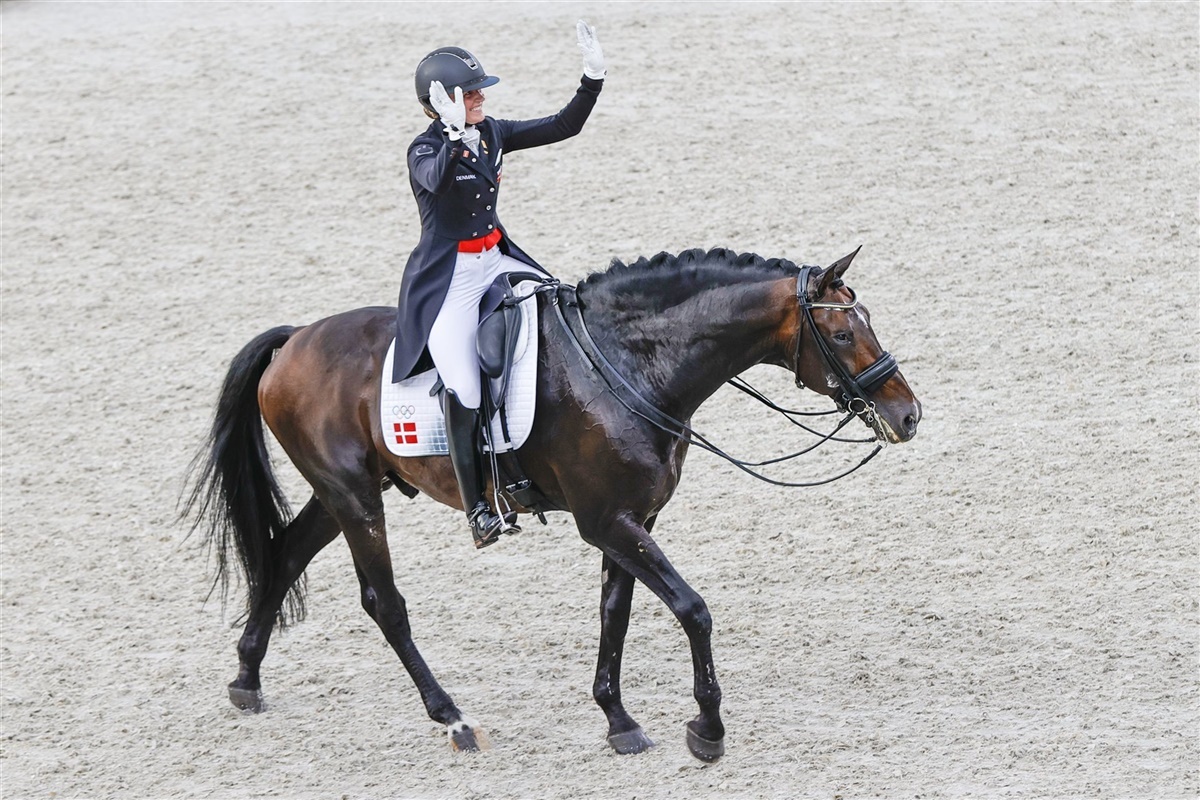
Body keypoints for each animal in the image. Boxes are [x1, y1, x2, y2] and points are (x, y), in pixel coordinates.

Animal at [184, 246, 921, 762]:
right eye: (845, 334)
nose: (908, 415)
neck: (627, 363)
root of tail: (295, 339)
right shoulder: (607, 522)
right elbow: (692, 609)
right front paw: (707, 727)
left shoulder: (632, 519)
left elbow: (615, 613)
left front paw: (619, 720)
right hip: (356, 499)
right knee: (383, 603)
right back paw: (453, 718)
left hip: (343, 492)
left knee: (283, 554)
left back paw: (246, 677)